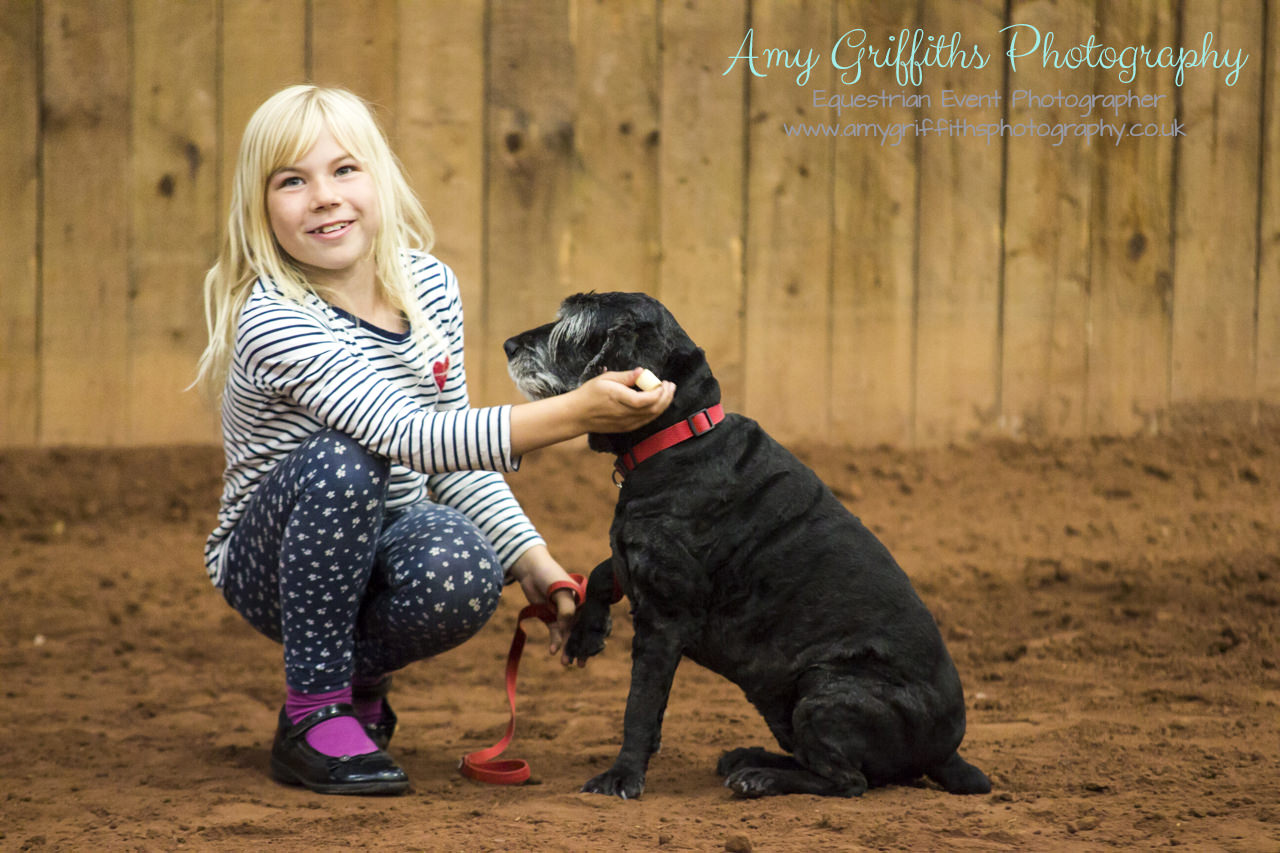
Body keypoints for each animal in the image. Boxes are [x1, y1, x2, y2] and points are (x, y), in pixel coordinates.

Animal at [501, 292, 988, 799]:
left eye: (575, 327)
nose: (508, 345)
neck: (679, 438)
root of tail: (946, 752)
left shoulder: (663, 619)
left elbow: (639, 706)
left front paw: (622, 777)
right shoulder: (636, 562)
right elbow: (601, 571)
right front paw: (586, 632)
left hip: (826, 692)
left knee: (848, 780)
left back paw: (761, 777)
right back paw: (749, 757)